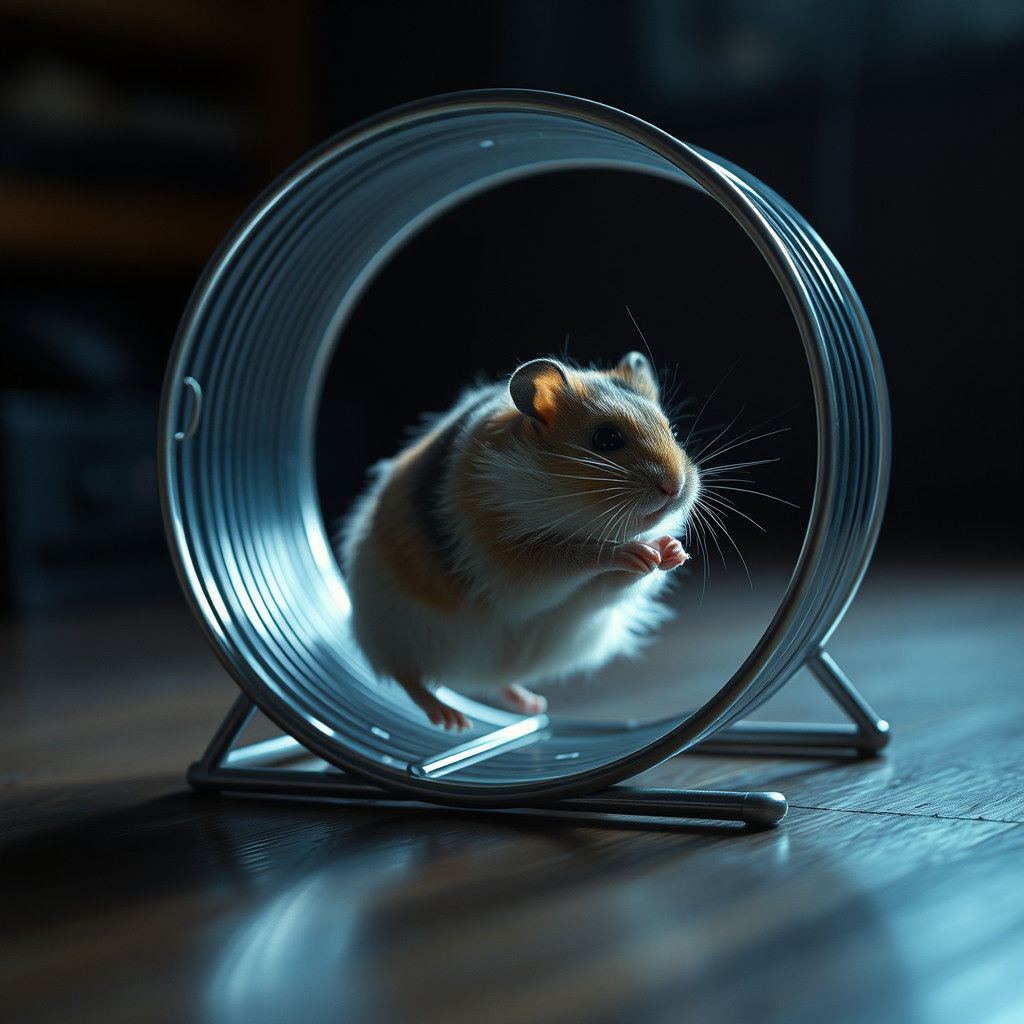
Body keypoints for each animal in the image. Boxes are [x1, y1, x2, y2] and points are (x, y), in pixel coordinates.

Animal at [337, 351, 700, 731]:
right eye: (606, 440)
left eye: (673, 430)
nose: (675, 488)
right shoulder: (513, 569)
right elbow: (574, 557)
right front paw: (633, 550)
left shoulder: (596, 595)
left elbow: (617, 583)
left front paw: (671, 552)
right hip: (391, 631)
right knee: (406, 677)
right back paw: (452, 721)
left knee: (495, 682)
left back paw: (531, 705)